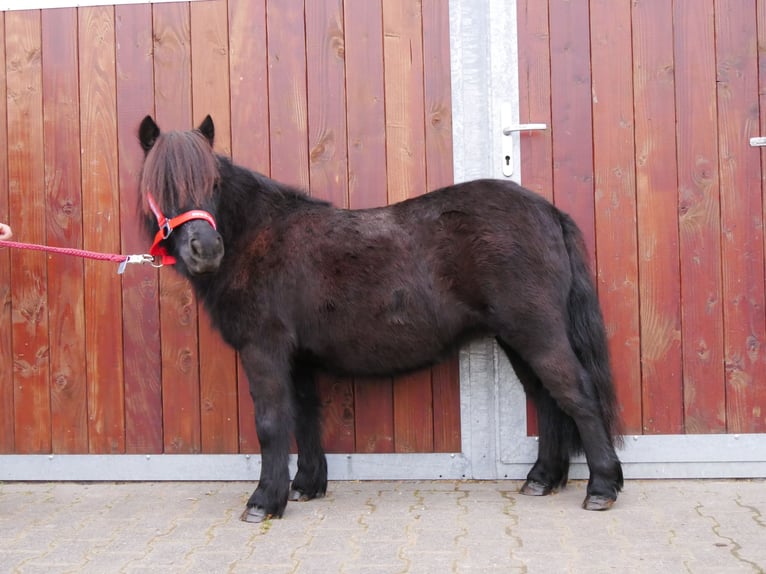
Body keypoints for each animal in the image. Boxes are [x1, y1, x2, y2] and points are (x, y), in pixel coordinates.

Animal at [140, 115, 624, 524]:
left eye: (214, 183)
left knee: (575, 394)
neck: (259, 236)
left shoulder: (264, 350)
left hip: (536, 332)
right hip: (516, 337)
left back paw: (601, 487)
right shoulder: (297, 358)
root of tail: (547, 211)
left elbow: (272, 423)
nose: (205, 251)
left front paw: (263, 501)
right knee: (547, 399)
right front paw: (306, 486)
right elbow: (304, 416)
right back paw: (543, 478)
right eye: (160, 185)